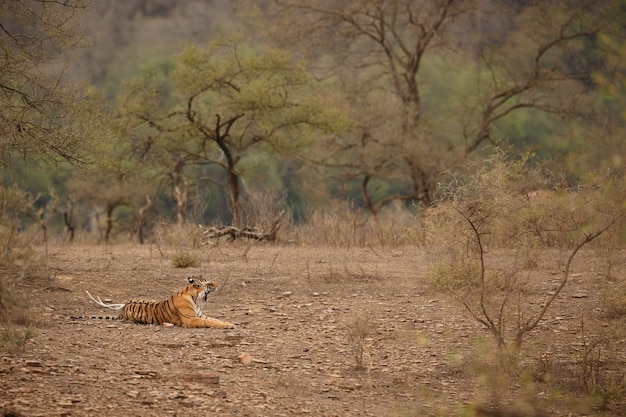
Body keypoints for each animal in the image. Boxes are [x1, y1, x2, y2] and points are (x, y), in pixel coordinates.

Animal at [83, 276, 234, 328]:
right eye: (209, 283)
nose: (218, 285)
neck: (194, 297)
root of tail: (124, 307)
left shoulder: (200, 315)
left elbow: (215, 319)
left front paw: (229, 323)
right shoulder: (191, 319)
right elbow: (210, 322)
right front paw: (229, 326)